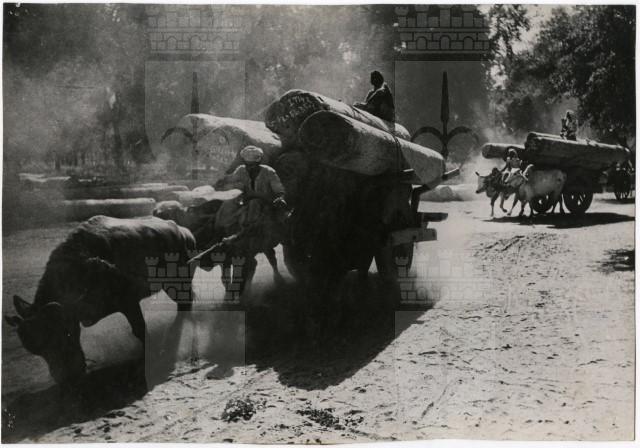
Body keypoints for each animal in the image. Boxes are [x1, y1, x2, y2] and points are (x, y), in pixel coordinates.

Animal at [4, 216, 196, 384]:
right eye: (36, 350)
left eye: (66, 334)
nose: (65, 378)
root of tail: (184, 232)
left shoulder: (128, 302)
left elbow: (139, 329)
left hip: (176, 284)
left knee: (184, 305)